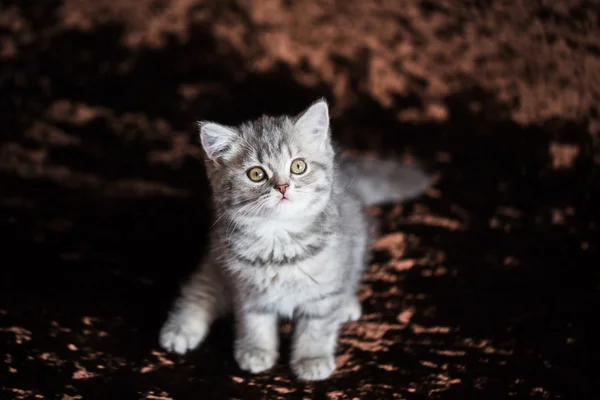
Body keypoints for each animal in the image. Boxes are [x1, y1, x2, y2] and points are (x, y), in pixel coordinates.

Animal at [159, 98, 432, 380]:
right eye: (256, 174)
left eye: (298, 166)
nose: (282, 187)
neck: (279, 240)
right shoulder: (248, 291)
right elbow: (254, 321)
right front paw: (256, 350)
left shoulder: (325, 289)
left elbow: (317, 326)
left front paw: (312, 359)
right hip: (216, 260)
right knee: (200, 288)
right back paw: (180, 330)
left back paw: (346, 304)